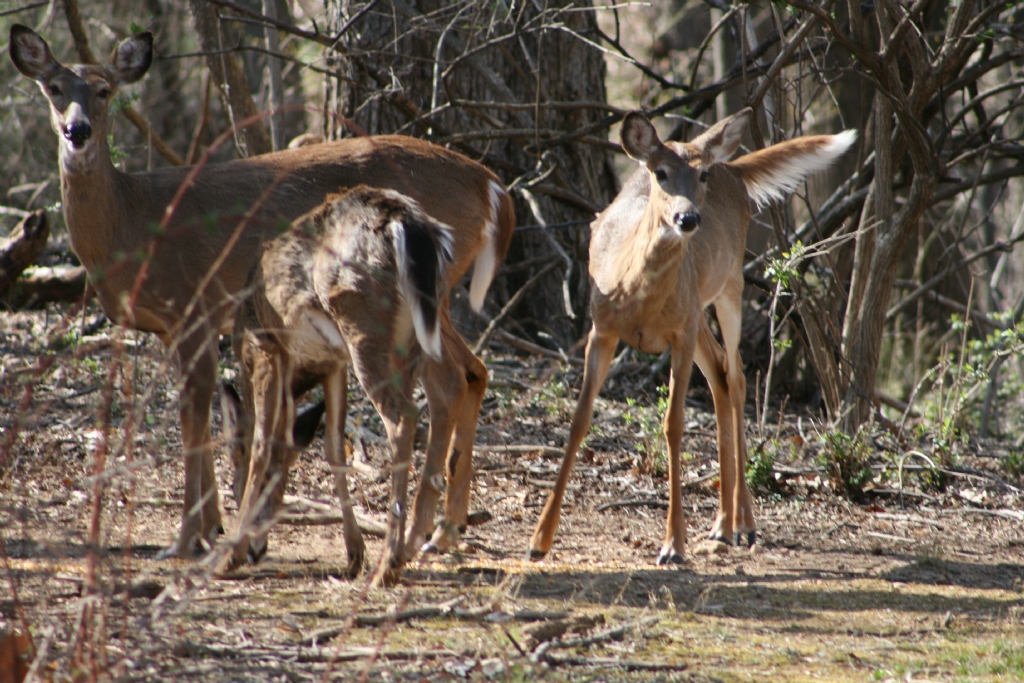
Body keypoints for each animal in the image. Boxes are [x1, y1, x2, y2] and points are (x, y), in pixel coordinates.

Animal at [9, 25, 516, 561]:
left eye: (105, 90)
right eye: (53, 88)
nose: (77, 131)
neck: (133, 224)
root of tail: (494, 187)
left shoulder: (196, 305)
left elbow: (195, 419)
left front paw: (189, 539)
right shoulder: (173, 327)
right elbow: (215, 419)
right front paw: (214, 527)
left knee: (446, 383)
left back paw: (422, 533)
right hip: (431, 298)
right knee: (473, 371)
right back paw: (446, 528)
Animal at [528, 109, 856, 565]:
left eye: (700, 176)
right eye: (660, 173)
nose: (688, 219)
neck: (635, 292)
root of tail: (732, 167)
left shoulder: (679, 335)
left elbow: (673, 424)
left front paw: (673, 545)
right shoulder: (602, 328)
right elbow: (579, 420)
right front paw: (540, 539)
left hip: (729, 285)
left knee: (737, 377)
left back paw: (744, 524)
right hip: (698, 311)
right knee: (720, 375)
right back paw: (722, 524)